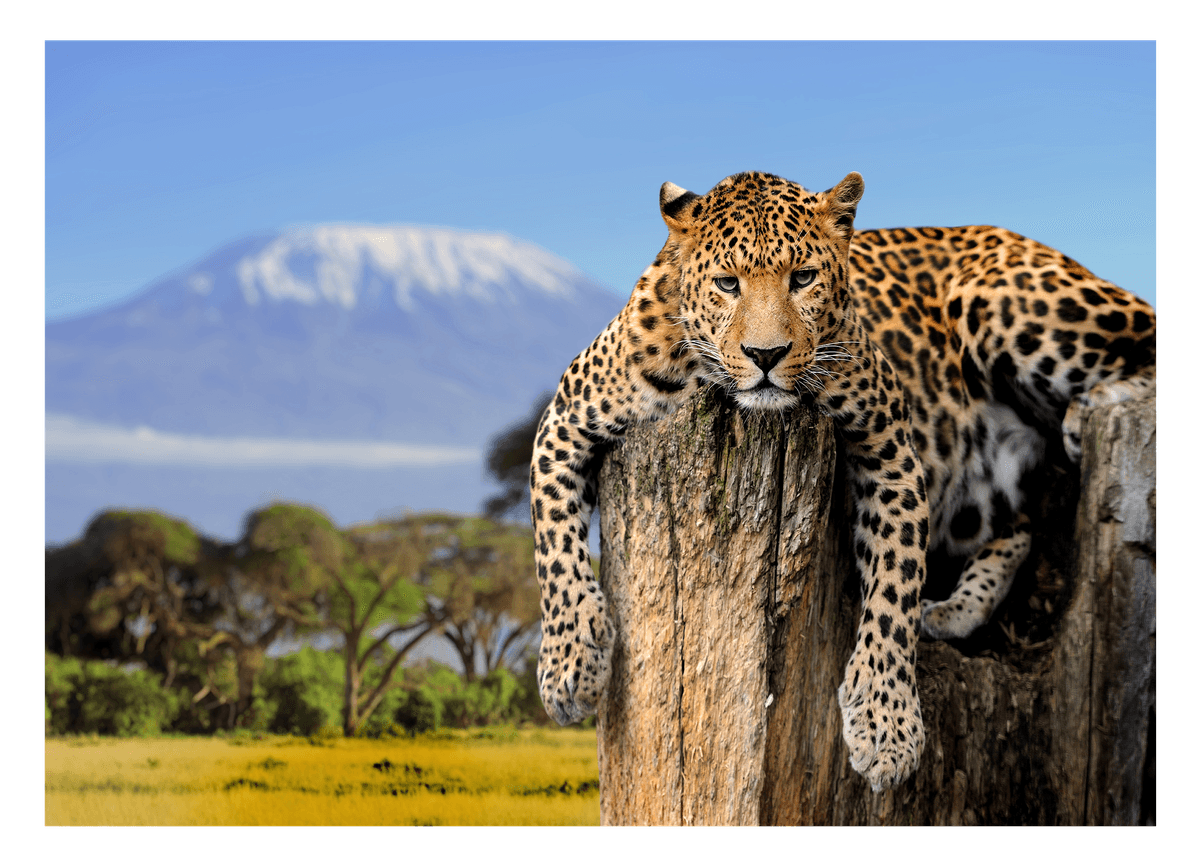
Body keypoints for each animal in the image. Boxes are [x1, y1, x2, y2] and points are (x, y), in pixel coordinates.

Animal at [528, 170, 1156, 792]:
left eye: (803, 277)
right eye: (728, 283)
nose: (765, 354)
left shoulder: (891, 448)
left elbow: (895, 585)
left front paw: (886, 726)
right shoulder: (563, 421)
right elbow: (553, 545)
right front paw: (569, 666)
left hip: (1005, 300)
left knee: (1147, 338)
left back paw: (1087, 412)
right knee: (1020, 526)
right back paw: (955, 609)